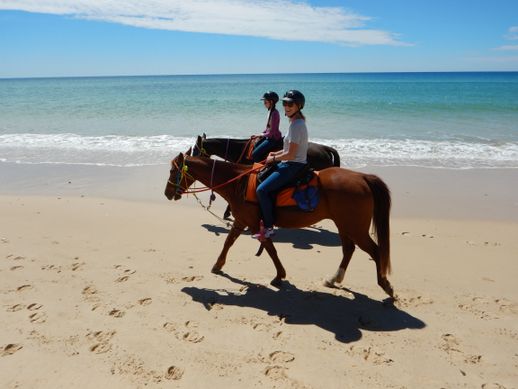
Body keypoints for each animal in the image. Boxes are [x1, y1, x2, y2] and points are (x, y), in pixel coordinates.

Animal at [167, 149, 398, 298]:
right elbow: (228, 242)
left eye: (172, 171)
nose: (167, 193)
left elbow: (270, 249)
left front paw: (279, 276)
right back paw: (334, 279)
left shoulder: (254, 225)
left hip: (355, 228)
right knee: (349, 249)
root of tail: (362, 177)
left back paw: (385, 285)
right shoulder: (242, 221)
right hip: (344, 225)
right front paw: (218, 265)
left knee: (375, 250)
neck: (238, 182)